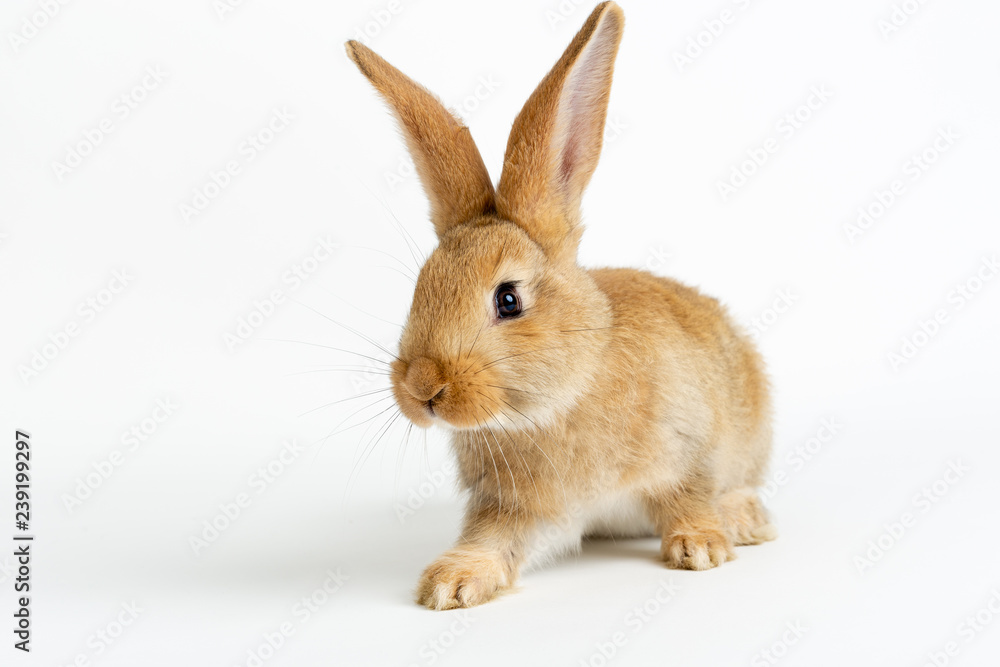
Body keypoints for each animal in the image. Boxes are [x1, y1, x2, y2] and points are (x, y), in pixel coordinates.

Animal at [344, 1, 772, 612]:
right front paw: (450, 583)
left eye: (508, 299)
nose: (423, 387)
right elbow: (494, 540)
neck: (562, 398)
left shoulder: (688, 454)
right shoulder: (514, 507)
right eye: (421, 288)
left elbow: (690, 497)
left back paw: (744, 520)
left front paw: (702, 548)